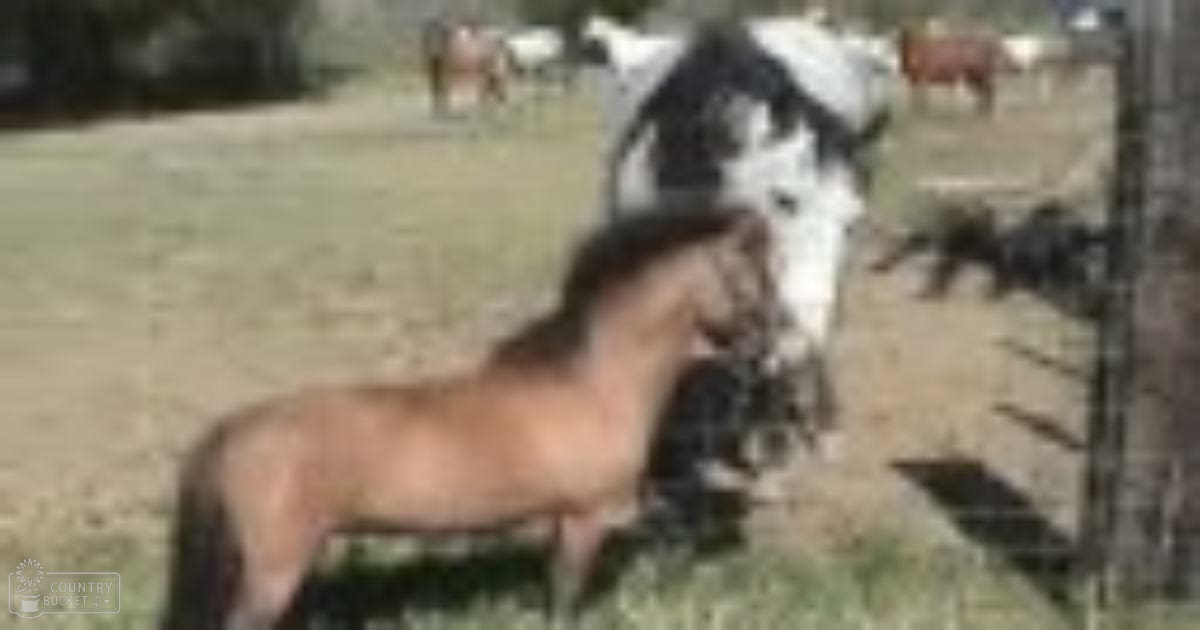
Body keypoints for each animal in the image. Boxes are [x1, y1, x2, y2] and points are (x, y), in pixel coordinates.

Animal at [159, 207, 777, 629]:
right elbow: (565, 597)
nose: (771, 346)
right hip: (274, 572)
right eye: (751, 276)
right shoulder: (585, 519)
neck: (594, 383)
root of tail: (233, 431)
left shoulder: (561, 520)